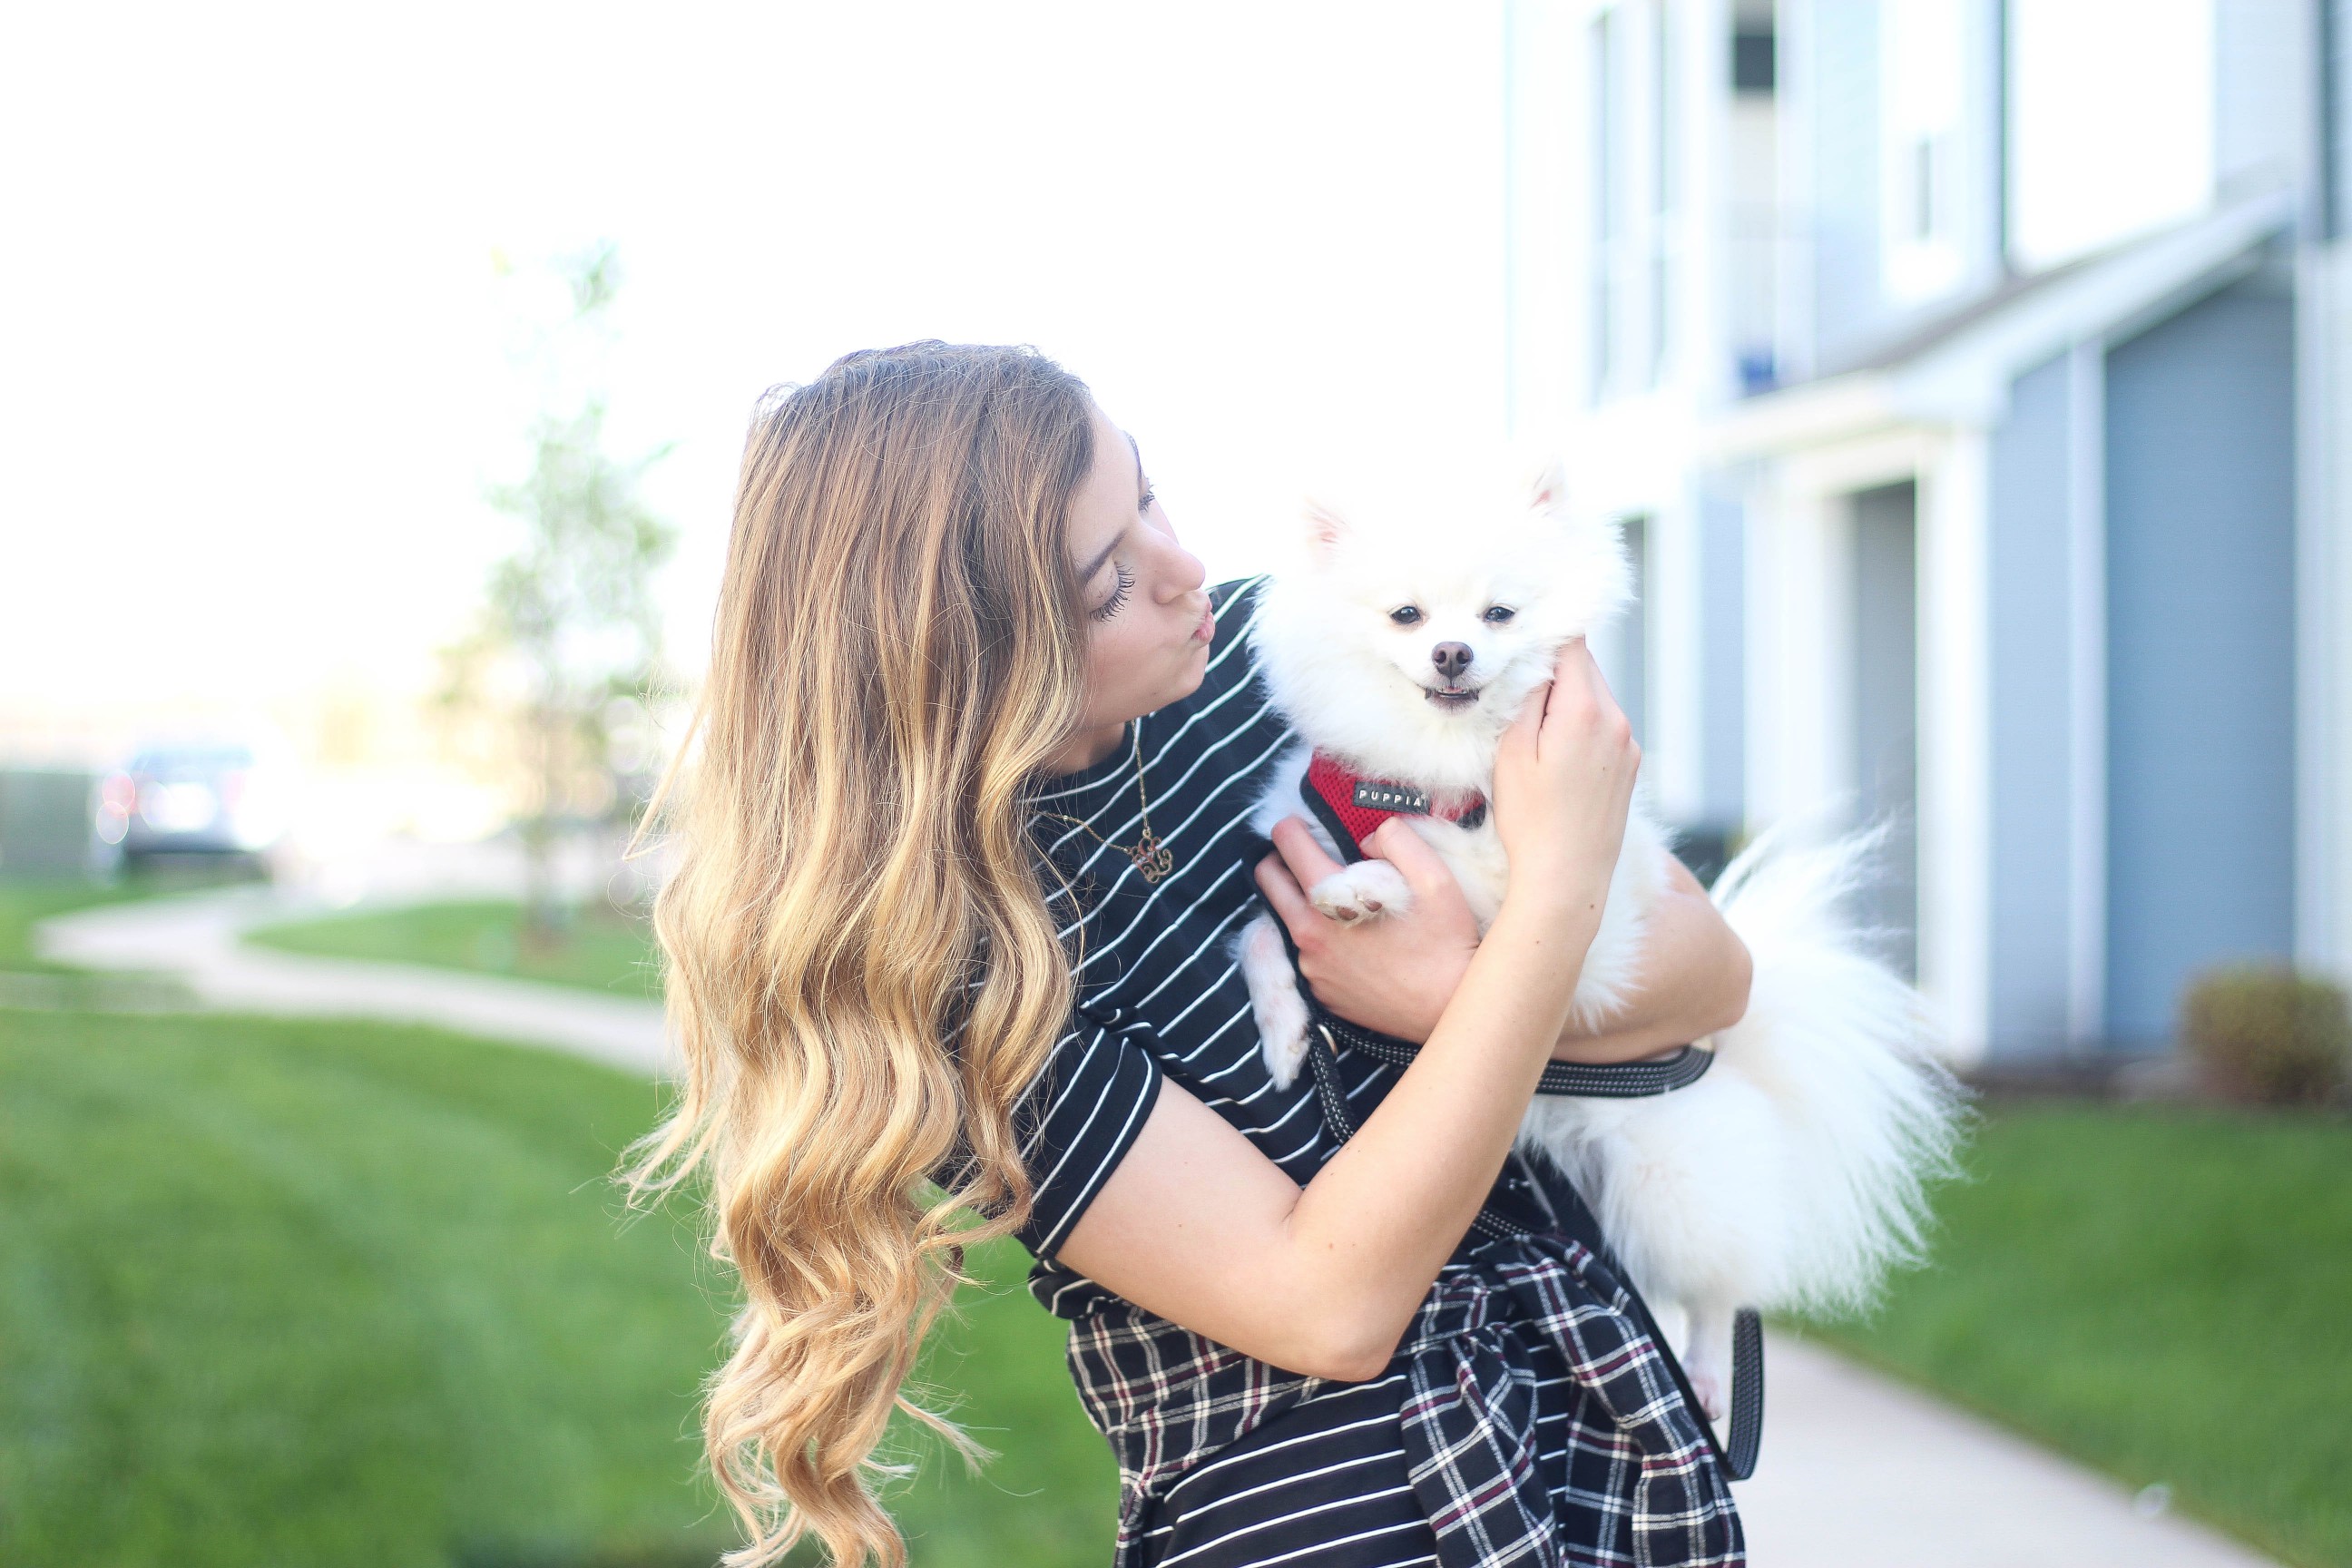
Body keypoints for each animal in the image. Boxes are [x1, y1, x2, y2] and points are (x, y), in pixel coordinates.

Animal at [1232, 460, 1965, 1419]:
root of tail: (1735, 1058)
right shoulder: (1302, 832)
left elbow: (1444, 890)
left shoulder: (1573, 927)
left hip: (1666, 1178)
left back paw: (1704, 1371)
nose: (1452, 652)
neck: (1436, 777)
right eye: (1408, 616)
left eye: (1498, 614)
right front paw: (1286, 1032)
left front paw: (1363, 890)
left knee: (1718, 1287)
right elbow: (1261, 930)